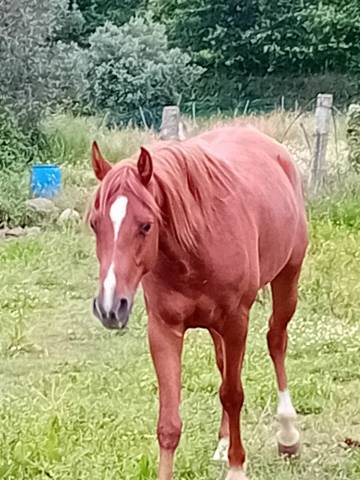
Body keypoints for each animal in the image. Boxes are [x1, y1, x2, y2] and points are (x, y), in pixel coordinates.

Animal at [88, 124, 310, 480]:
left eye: (146, 225)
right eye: (95, 223)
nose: (110, 307)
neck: (194, 250)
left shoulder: (236, 322)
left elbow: (233, 394)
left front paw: (237, 467)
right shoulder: (164, 331)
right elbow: (169, 423)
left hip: (287, 277)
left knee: (276, 340)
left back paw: (288, 436)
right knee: (224, 365)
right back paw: (223, 442)